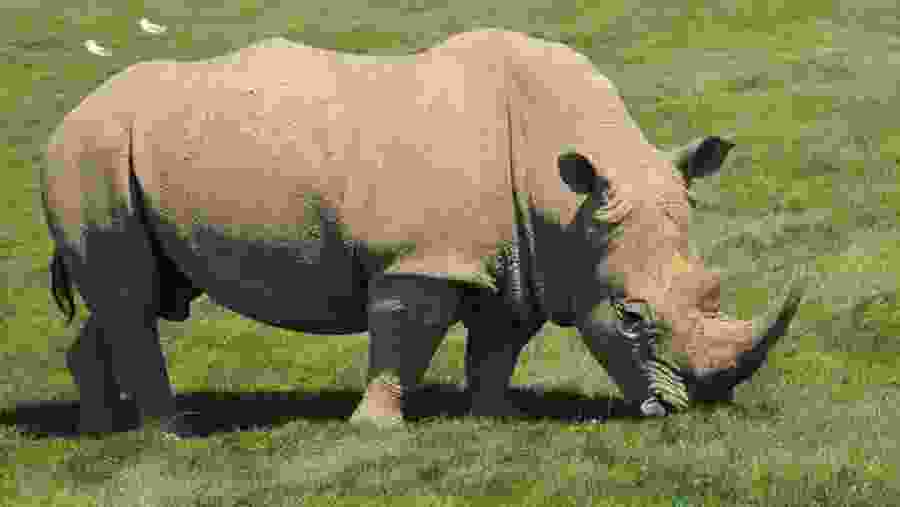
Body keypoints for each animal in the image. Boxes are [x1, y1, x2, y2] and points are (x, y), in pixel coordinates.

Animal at [41, 29, 806, 436]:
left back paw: (102, 429)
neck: (567, 198)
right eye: (630, 316)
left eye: (712, 288)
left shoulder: (526, 260)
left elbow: (497, 346)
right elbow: (401, 346)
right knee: (132, 300)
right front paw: (376, 428)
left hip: (115, 156)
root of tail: (64, 117)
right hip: (89, 152)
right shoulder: (420, 260)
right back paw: (173, 434)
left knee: (133, 296)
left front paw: (494, 416)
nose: (703, 404)